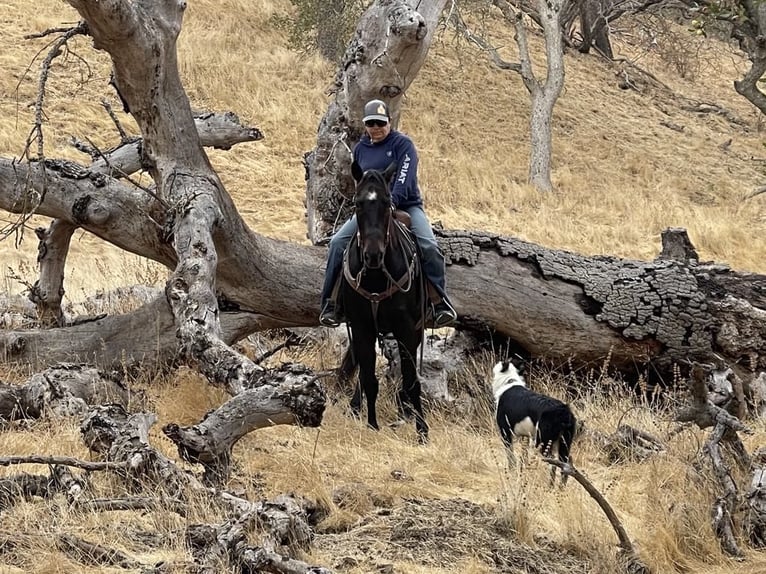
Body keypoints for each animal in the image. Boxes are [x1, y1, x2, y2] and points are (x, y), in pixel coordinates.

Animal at [339, 160, 428, 442]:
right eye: (358, 203)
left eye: (387, 201)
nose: (373, 255)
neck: (377, 276)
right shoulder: (361, 326)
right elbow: (368, 378)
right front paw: (371, 424)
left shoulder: (407, 329)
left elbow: (411, 380)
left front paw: (422, 431)